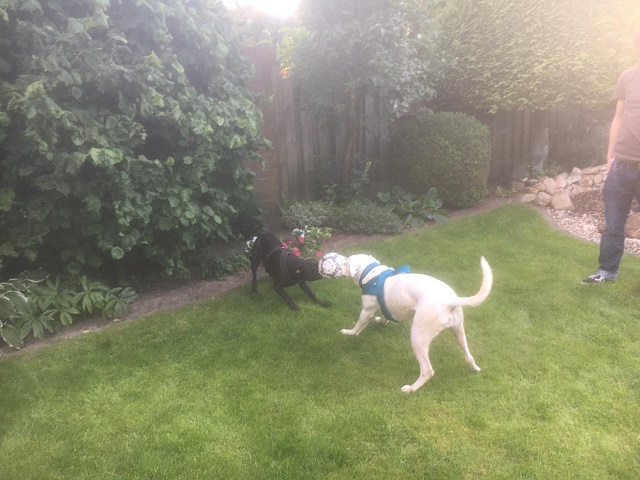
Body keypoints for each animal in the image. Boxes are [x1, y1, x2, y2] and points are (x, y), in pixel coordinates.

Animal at [319, 253, 492, 393]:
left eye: (346, 262)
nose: (341, 262)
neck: (372, 274)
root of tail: (449, 300)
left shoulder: (366, 311)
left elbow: (358, 327)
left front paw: (349, 333)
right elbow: (385, 316)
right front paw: (381, 321)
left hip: (418, 337)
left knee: (427, 370)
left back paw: (410, 389)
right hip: (458, 330)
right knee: (468, 355)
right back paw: (475, 368)